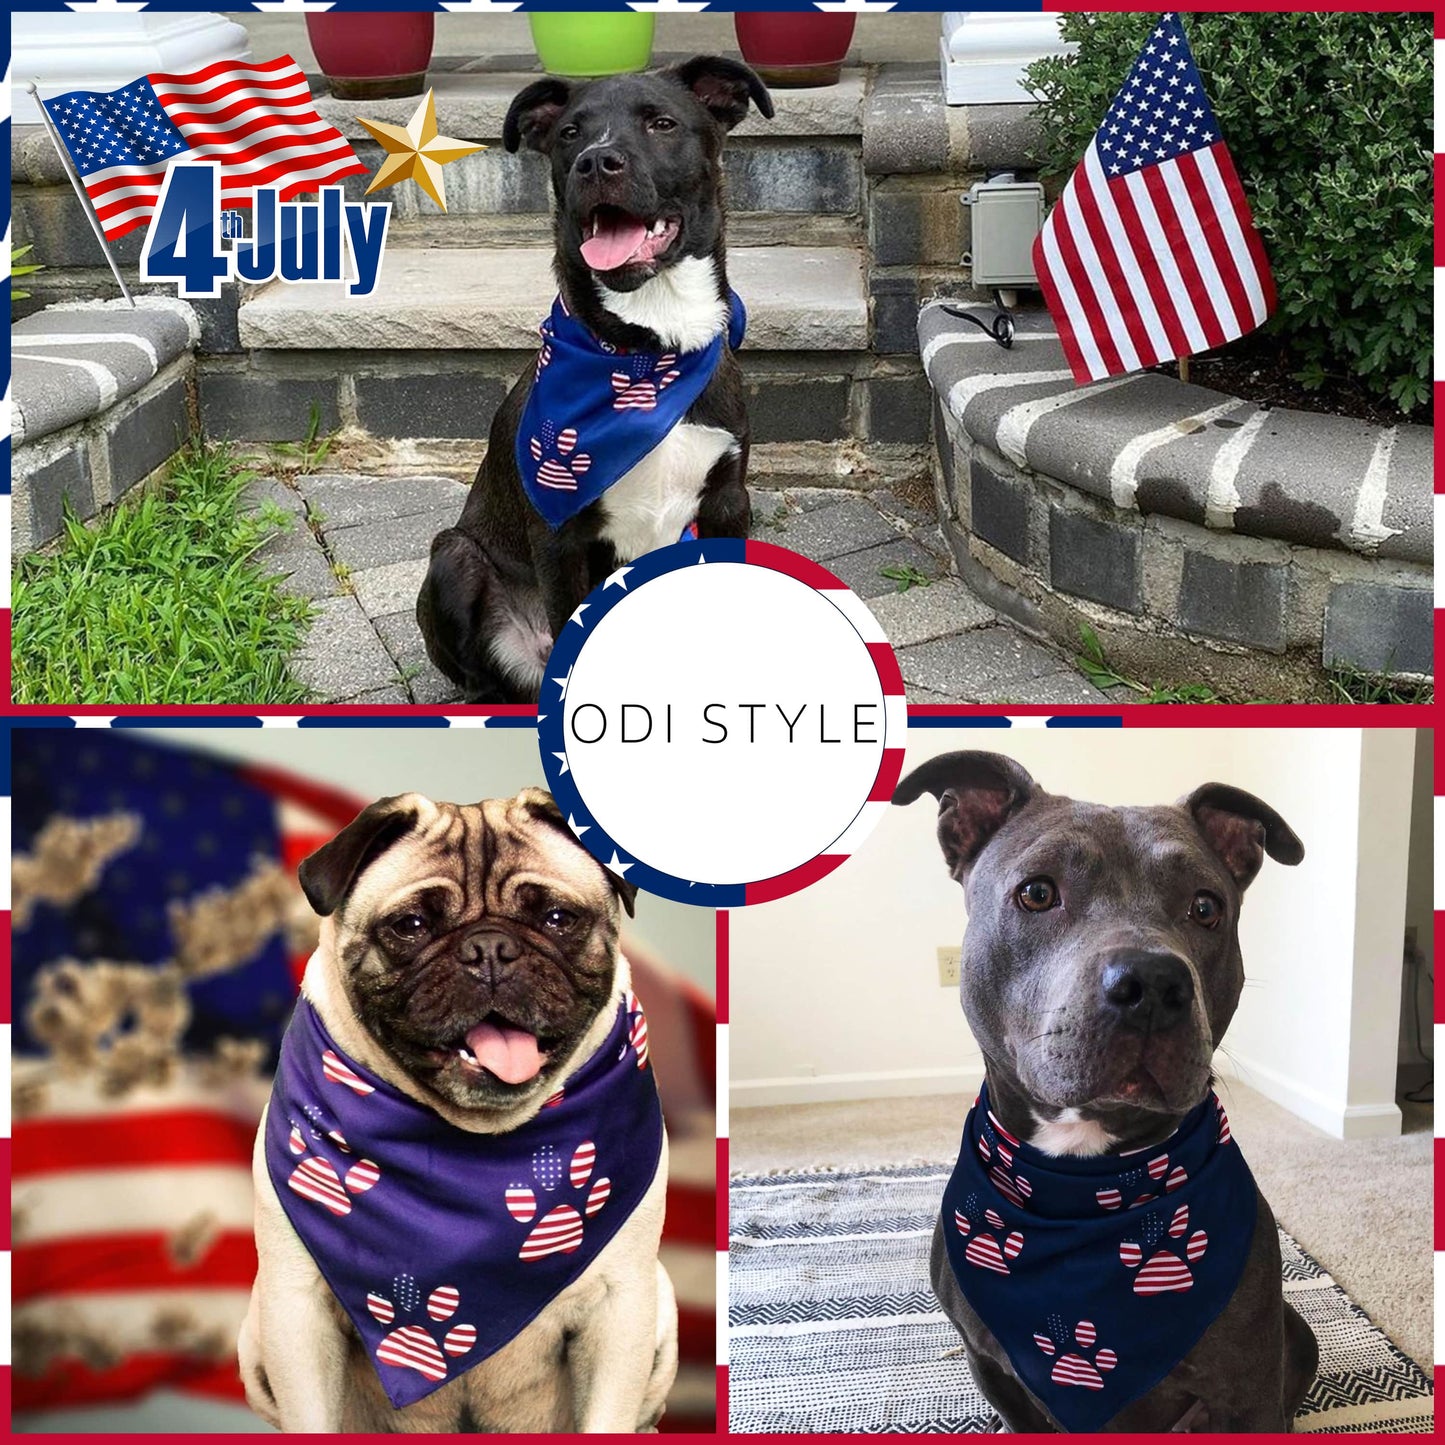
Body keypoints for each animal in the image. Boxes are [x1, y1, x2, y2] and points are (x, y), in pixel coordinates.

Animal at [419, 59, 774, 702]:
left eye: (662, 124)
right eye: (569, 134)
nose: (595, 161)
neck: (648, 352)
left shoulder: (727, 503)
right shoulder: (561, 538)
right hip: (453, 555)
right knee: (482, 676)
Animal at [890, 751, 1323, 1427]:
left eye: (1206, 907)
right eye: (1038, 892)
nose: (1154, 982)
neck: (1085, 1178)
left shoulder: (1249, 1385)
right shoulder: (993, 1369)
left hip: (1293, 1336)